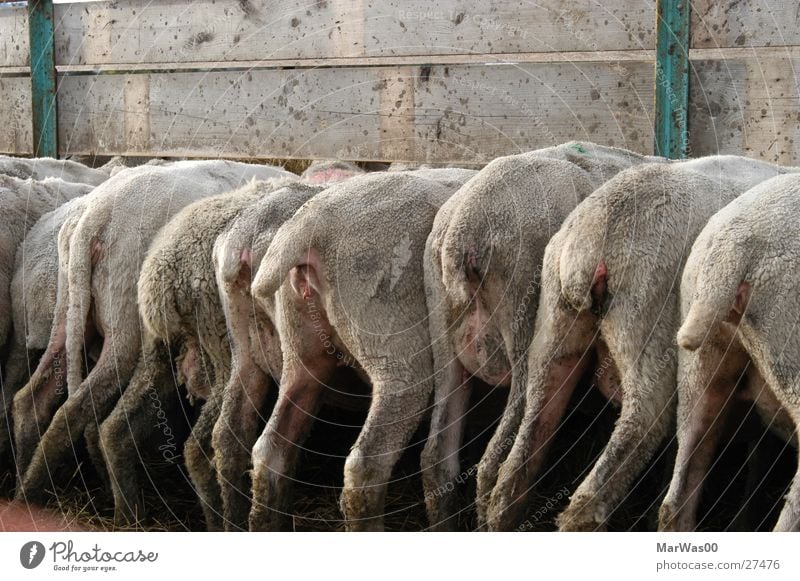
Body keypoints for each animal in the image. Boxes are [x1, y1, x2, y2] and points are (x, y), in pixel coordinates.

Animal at [13, 159, 294, 502]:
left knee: (32, 400)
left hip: (68, 311)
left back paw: (26, 491)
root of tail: (91, 218)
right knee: (77, 409)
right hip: (122, 317)